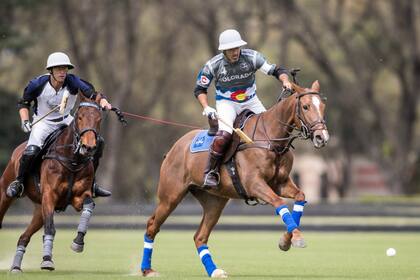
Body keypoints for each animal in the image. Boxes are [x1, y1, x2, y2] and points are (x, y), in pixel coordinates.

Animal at [0, 94, 104, 272]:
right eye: (80, 116)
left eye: (99, 119)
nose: (88, 147)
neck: (73, 160)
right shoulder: (49, 195)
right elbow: (50, 227)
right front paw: (47, 260)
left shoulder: (79, 197)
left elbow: (88, 207)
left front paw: (78, 242)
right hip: (6, 193)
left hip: (38, 210)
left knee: (23, 237)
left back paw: (16, 267)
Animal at [141, 80, 328, 278]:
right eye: (306, 106)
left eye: (323, 106)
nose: (321, 137)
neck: (271, 139)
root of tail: (173, 149)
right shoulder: (254, 183)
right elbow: (279, 202)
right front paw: (296, 238)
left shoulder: (280, 183)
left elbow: (300, 196)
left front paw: (286, 241)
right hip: (170, 196)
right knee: (152, 225)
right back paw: (147, 270)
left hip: (214, 201)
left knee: (200, 236)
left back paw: (214, 271)